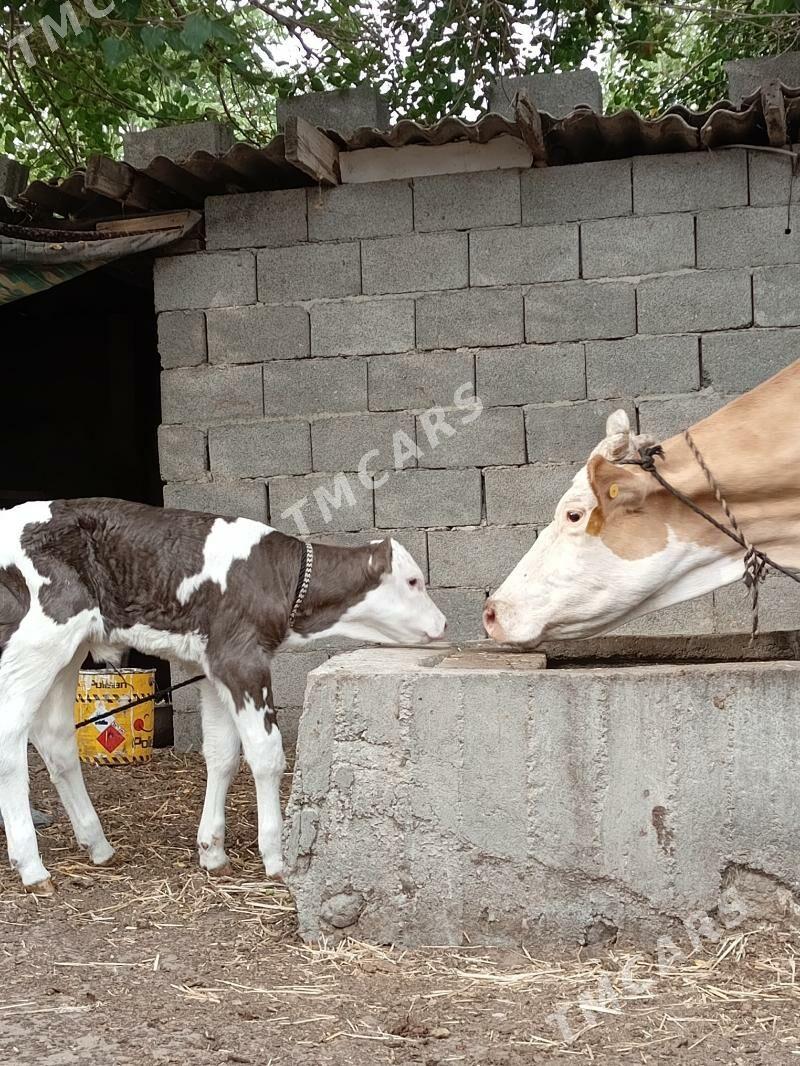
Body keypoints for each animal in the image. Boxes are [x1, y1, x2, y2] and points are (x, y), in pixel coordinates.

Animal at [0, 496, 445, 891]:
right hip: (39, 639)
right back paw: (32, 868)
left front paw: (212, 851)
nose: (442, 623)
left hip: (70, 650)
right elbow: (266, 754)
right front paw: (275, 857)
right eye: (412, 581)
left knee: (56, 739)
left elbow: (222, 754)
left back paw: (98, 845)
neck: (277, 578)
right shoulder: (240, 658)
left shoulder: (211, 669)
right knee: (10, 736)